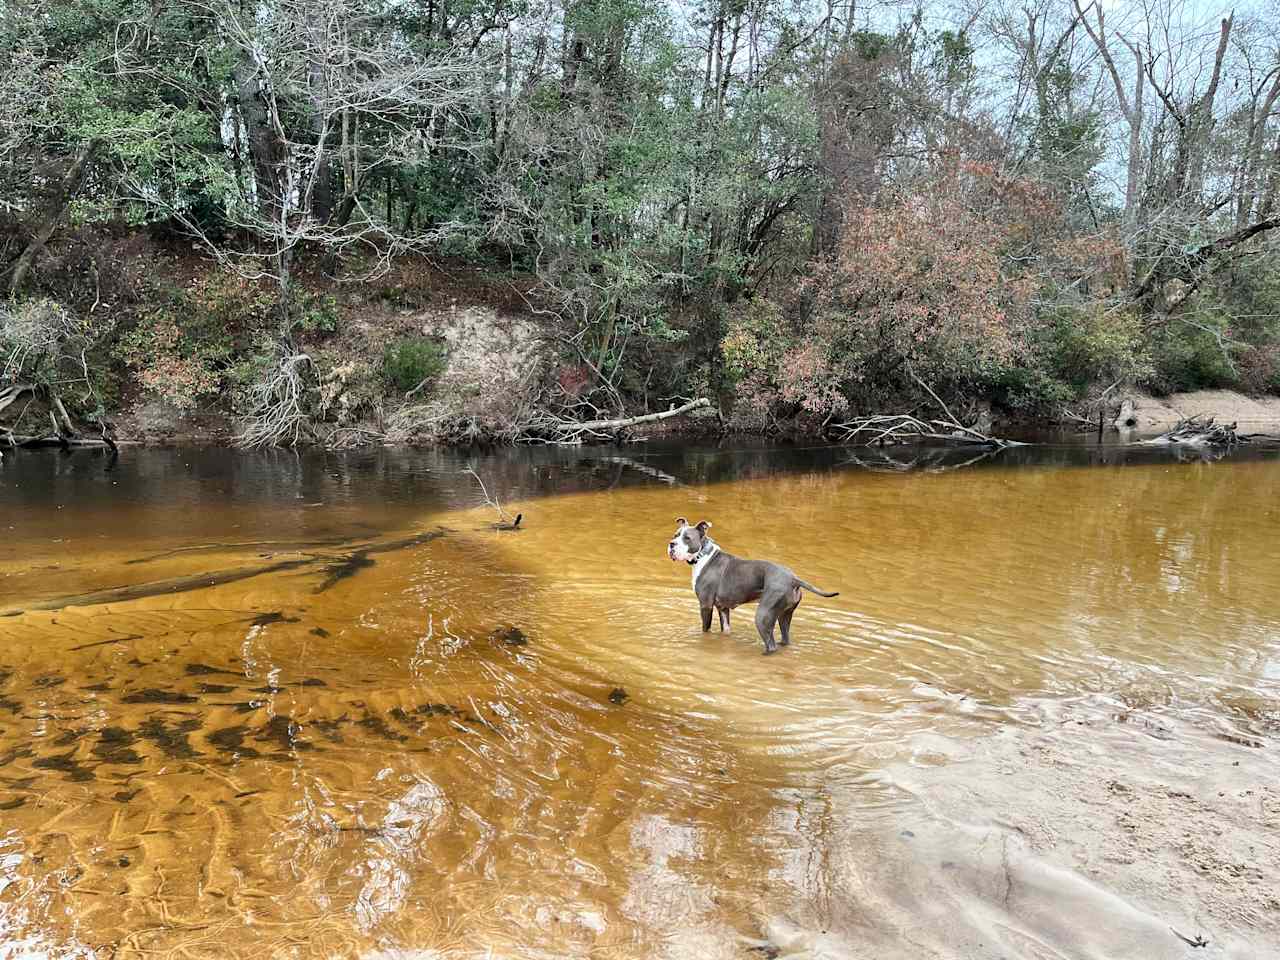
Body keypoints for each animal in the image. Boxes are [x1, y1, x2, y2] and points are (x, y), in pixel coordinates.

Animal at [670, 519, 839, 655]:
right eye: (675, 535)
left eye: (687, 538)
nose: (671, 544)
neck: (702, 555)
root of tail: (793, 578)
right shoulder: (722, 608)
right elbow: (726, 629)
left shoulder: (705, 605)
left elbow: (706, 630)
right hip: (784, 615)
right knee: (785, 638)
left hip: (763, 616)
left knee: (771, 645)